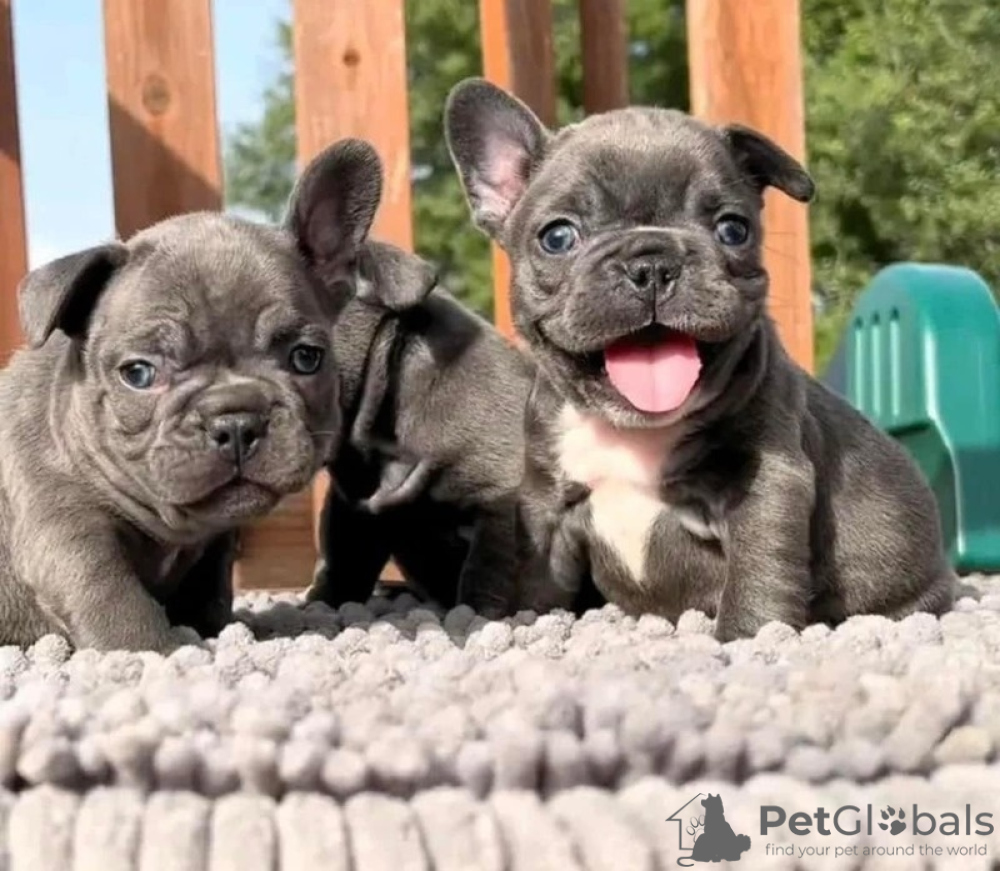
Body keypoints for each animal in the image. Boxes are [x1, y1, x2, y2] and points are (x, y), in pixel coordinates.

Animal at [0, 138, 383, 652]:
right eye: (139, 374)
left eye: (306, 358)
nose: (236, 420)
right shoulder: (66, 527)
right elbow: (113, 596)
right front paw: (159, 650)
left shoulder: (213, 543)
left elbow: (210, 587)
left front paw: (216, 631)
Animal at [303, 232, 535, 614]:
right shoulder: (353, 511)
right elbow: (342, 563)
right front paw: (321, 605)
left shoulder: (499, 497)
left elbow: (486, 572)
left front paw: (478, 614)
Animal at [444, 78, 955, 640]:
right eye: (558, 237)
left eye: (733, 229)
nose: (651, 263)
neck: (632, 431)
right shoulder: (546, 501)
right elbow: (536, 573)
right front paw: (527, 624)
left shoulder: (767, 485)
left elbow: (760, 572)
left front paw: (749, 637)